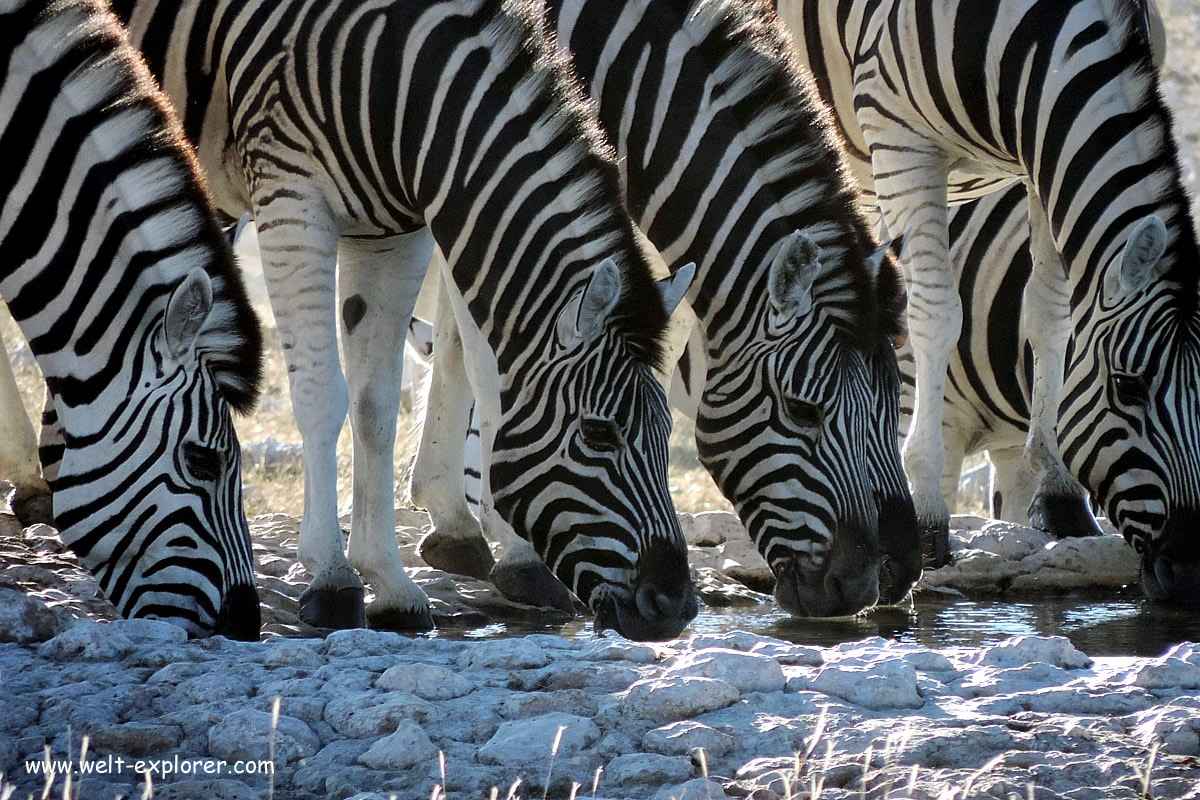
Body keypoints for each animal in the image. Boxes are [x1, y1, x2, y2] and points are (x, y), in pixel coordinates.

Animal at [110, 0, 700, 638]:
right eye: (598, 434)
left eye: (667, 431)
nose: (676, 606)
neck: (403, 82)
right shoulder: (290, 198)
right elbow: (322, 394)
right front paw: (333, 579)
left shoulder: (393, 232)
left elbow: (376, 406)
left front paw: (388, 583)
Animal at [405, 0, 916, 618]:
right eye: (803, 411)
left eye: (887, 401)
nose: (879, 581)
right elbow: (484, 343)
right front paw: (518, 551)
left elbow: (463, 336)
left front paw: (452, 516)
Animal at [777, 0, 1200, 597]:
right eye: (1128, 386)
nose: (1189, 574)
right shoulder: (901, 138)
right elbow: (935, 314)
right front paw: (928, 512)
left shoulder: (1042, 155)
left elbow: (1051, 311)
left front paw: (1060, 494)